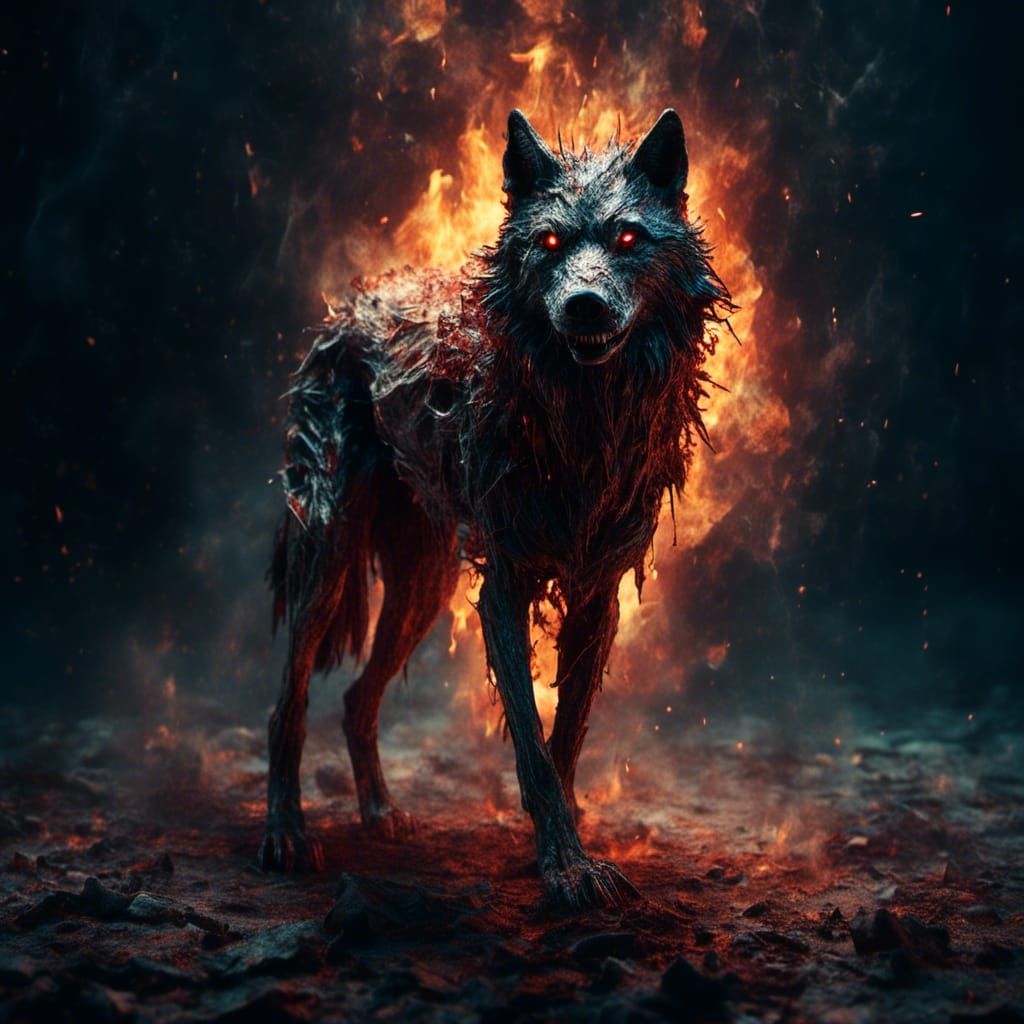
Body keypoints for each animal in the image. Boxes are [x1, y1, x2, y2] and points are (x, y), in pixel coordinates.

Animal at [259, 108, 731, 910]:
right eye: (550, 243)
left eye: (628, 238)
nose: (584, 304)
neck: (583, 422)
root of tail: (346, 309)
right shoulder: (503, 590)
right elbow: (533, 746)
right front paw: (566, 866)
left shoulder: (595, 595)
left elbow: (565, 739)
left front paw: (560, 847)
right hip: (330, 559)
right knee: (285, 702)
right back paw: (286, 834)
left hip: (423, 589)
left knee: (355, 698)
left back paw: (380, 813)